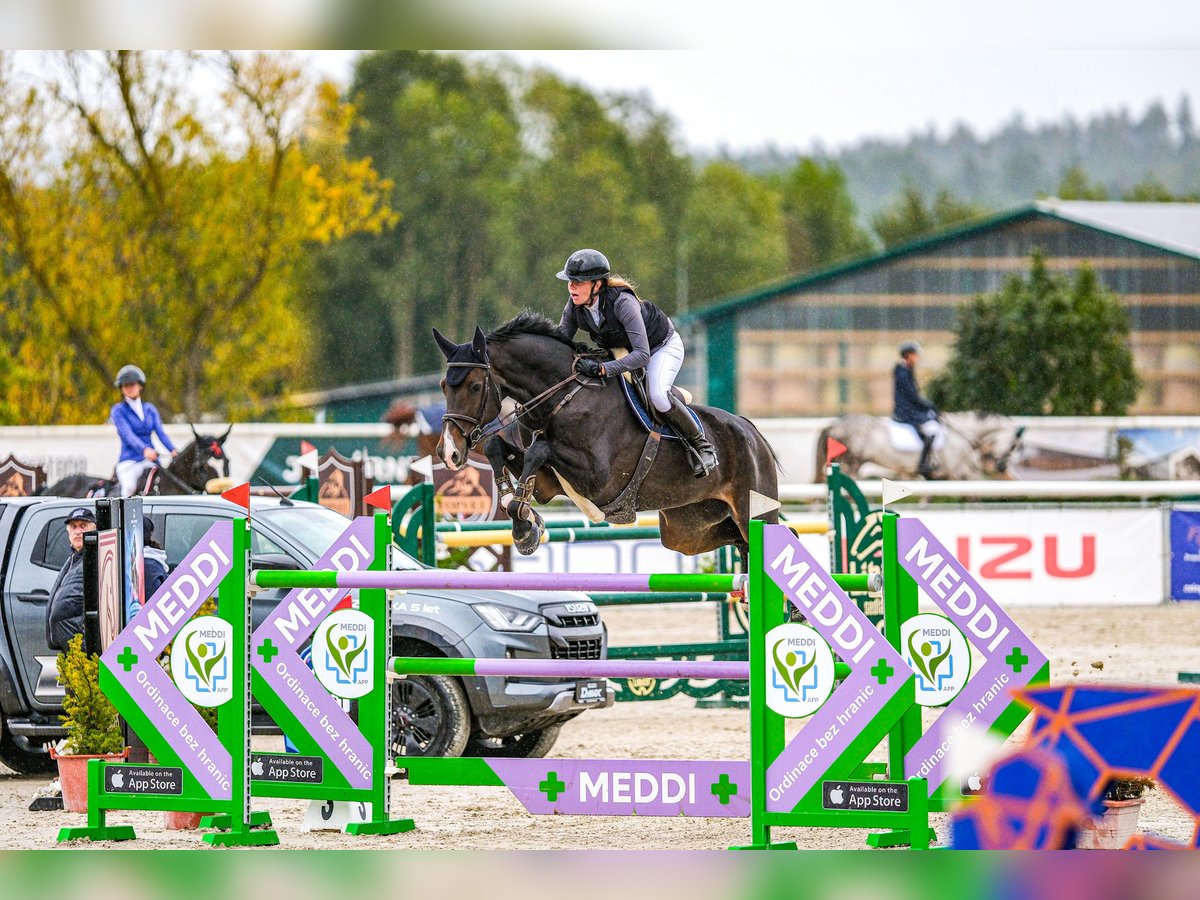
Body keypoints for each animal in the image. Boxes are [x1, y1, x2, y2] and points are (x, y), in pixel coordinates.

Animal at [432, 314, 777, 561]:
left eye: (475, 386)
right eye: (443, 386)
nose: (449, 452)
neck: (562, 397)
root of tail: (753, 433)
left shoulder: (600, 481)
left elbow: (538, 451)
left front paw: (523, 525)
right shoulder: (550, 484)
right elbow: (497, 447)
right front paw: (522, 518)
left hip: (754, 509)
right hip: (688, 529)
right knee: (734, 540)